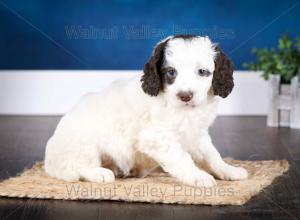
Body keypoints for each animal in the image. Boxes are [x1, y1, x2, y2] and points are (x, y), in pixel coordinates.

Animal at [43, 35, 247, 186]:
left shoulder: (197, 134)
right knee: (74, 168)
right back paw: (99, 173)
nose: (185, 96)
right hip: (84, 143)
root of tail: (48, 162)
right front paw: (198, 176)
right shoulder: (158, 137)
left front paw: (229, 170)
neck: (184, 111)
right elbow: (183, 158)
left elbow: (212, 155)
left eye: (203, 72)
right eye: (171, 72)